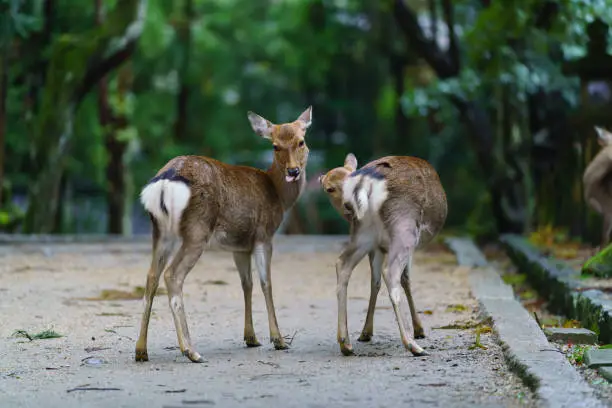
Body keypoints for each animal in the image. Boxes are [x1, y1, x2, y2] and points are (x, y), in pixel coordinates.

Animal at [136, 106, 314, 364]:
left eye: (301, 141)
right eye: (275, 146)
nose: (293, 171)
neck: (278, 195)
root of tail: (166, 181)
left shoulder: (239, 246)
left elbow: (246, 283)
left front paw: (251, 338)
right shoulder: (264, 235)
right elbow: (266, 283)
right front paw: (278, 340)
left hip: (160, 231)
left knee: (151, 277)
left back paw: (141, 350)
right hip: (196, 230)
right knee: (172, 275)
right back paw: (191, 350)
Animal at [318, 154, 448, 356]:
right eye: (329, 188)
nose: (347, 206)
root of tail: (367, 183)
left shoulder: (377, 247)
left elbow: (375, 281)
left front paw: (366, 332)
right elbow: (406, 279)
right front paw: (419, 330)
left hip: (364, 234)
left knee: (342, 263)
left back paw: (345, 343)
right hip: (405, 229)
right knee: (391, 273)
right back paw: (412, 345)